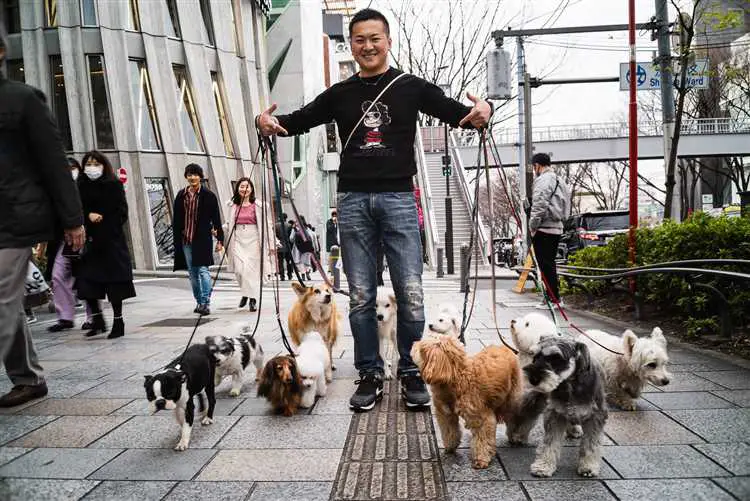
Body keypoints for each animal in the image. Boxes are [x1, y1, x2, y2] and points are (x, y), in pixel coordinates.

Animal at [412, 334, 524, 466]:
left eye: (421, 347)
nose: (413, 344)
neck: (455, 376)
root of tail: (505, 348)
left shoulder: (482, 417)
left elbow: (483, 439)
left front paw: (481, 458)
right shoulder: (446, 415)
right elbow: (449, 431)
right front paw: (450, 447)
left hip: (512, 396)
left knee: (514, 417)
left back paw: (516, 436)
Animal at [516, 336, 612, 476]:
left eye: (556, 358)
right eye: (535, 356)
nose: (533, 379)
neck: (570, 383)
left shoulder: (596, 416)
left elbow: (591, 443)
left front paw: (588, 466)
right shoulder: (555, 414)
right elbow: (550, 442)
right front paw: (544, 466)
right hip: (538, 396)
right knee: (527, 414)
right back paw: (517, 435)